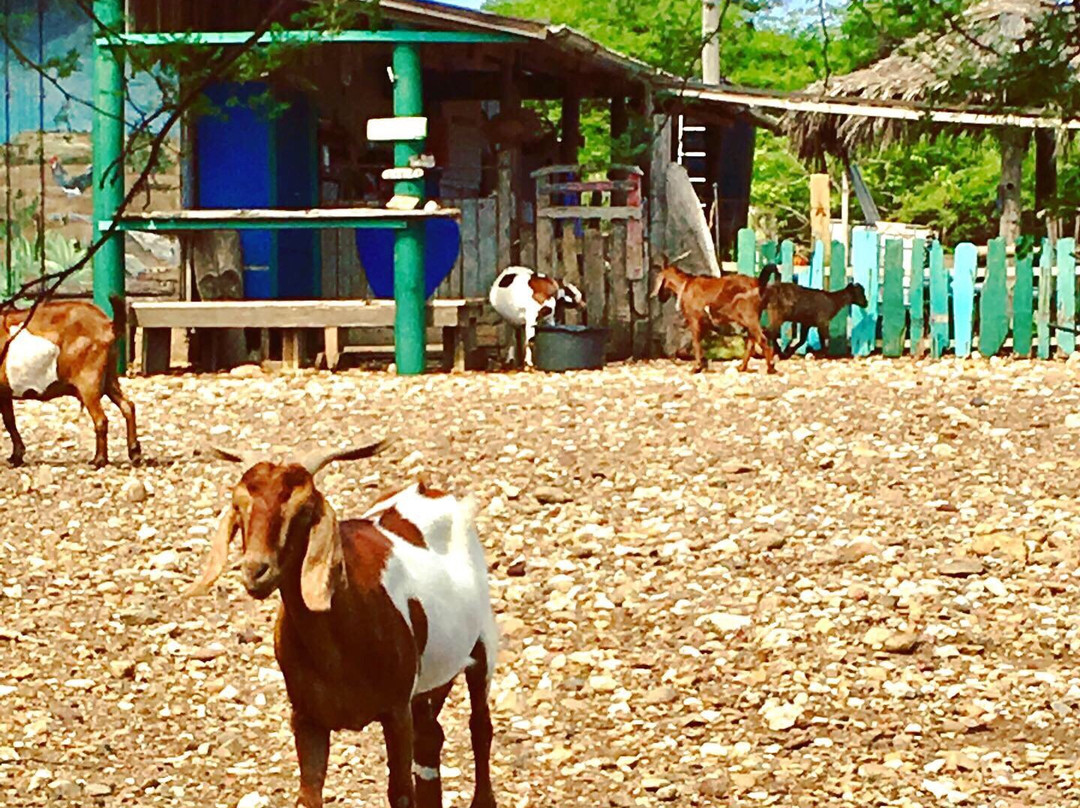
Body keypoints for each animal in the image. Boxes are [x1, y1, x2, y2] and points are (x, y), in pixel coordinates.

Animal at [0, 295, 140, 467]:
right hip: (109, 377)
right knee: (128, 406)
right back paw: (134, 452)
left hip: (89, 381)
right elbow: (9, 421)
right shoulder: (4, 393)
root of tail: (107, 325)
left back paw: (99, 459)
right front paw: (16, 456)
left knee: (101, 419)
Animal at [187, 442, 498, 808]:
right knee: (430, 738)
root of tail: (428, 490)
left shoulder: (396, 711)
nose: (255, 571)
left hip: (482, 643)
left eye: (304, 510)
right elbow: (309, 796)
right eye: (239, 506)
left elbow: (400, 793)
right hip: (432, 675)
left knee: (480, 726)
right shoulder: (307, 718)